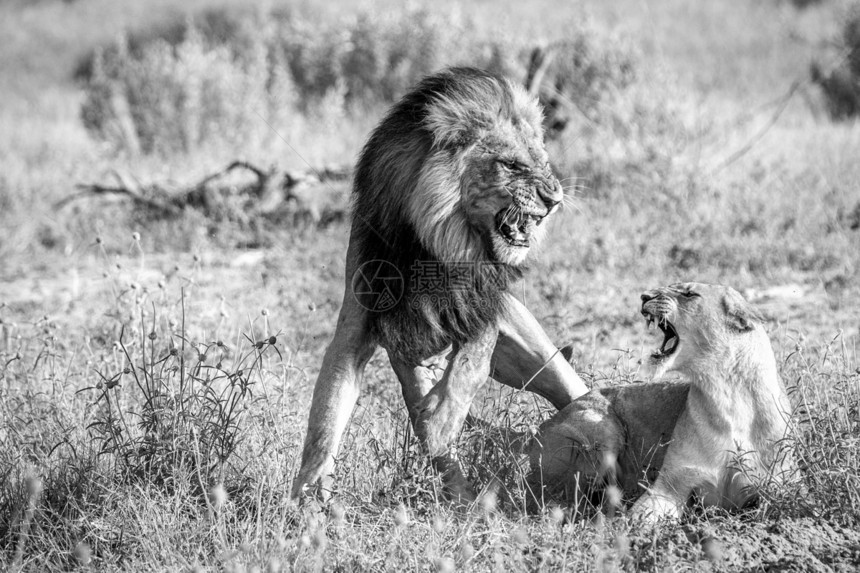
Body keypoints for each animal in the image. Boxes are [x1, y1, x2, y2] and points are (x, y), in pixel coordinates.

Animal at [292, 68, 588, 500]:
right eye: (511, 165)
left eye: (543, 163)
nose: (554, 199)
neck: (438, 242)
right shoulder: (366, 326)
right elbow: (327, 412)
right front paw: (308, 494)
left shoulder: (482, 307)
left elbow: (468, 370)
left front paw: (441, 421)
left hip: (531, 347)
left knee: (567, 386)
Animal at [528, 284, 796, 520]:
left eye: (689, 293)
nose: (644, 296)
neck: (725, 392)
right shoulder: (670, 484)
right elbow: (641, 517)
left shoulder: (778, 486)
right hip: (602, 430)